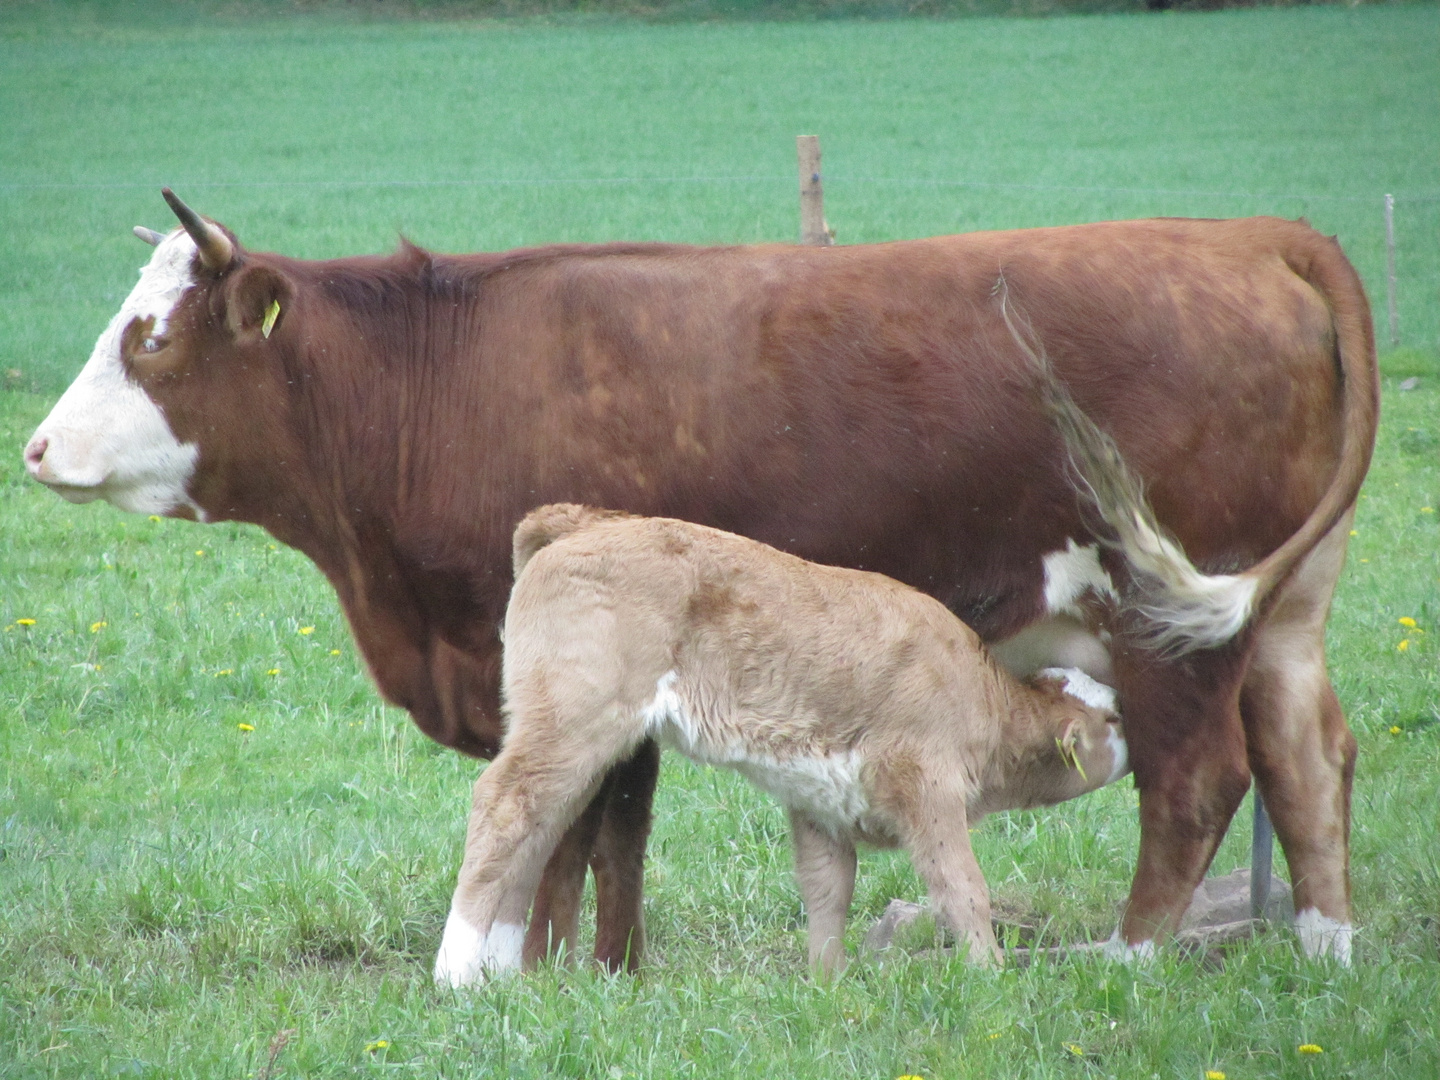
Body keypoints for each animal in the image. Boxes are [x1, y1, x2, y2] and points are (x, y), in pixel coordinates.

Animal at [432, 506, 1128, 990]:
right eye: (1113, 718)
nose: (1136, 716)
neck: (983, 698)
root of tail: (582, 521)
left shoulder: (821, 802)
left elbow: (827, 891)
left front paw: (827, 983)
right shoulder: (927, 784)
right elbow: (960, 886)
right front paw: (990, 977)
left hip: (567, 735)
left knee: (541, 824)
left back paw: (499, 972)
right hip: (575, 720)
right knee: (504, 805)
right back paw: (455, 974)